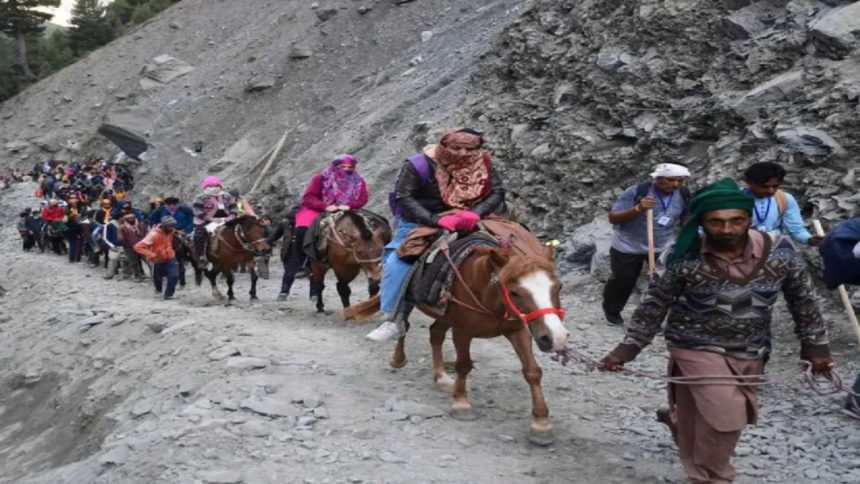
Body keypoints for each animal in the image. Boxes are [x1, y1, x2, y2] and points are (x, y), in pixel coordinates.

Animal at [342, 242, 572, 446]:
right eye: (514, 292)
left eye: (558, 287)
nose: (556, 337)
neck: (486, 293)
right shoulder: (462, 331)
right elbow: (463, 365)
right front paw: (462, 404)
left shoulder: (518, 331)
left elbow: (532, 371)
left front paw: (541, 424)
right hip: (411, 302)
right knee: (403, 324)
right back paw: (398, 358)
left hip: (444, 316)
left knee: (435, 334)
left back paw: (442, 377)